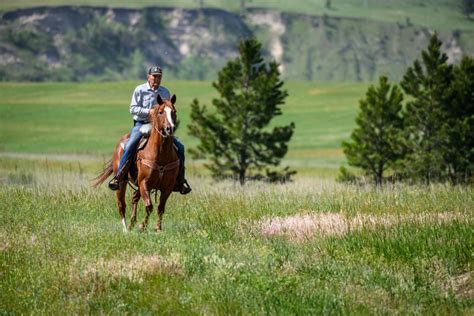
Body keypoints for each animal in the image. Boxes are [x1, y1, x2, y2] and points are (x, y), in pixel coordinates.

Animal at [93, 94, 179, 232]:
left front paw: (158, 228)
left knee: (134, 197)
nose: (169, 128)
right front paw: (142, 226)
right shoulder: (144, 182)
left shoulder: (167, 187)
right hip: (122, 182)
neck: (160, 153)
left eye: (174, 112)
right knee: (121, 204)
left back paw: (131, 224)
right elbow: (149, 206)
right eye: (160, 112)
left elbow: (160, 207)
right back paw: (126, 229)